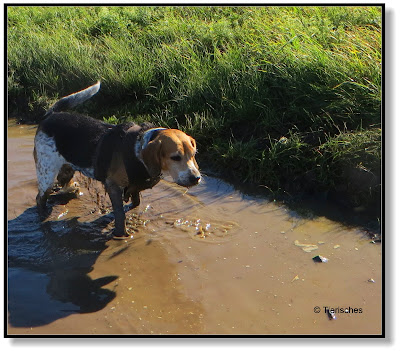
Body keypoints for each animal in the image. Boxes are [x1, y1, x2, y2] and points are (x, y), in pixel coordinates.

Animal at [34, 81, 202, 238]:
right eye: (175, 157)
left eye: (193, 154)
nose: (196, 178)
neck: (138, 149)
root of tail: (51, 116)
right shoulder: (113, 186)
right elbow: (120, 215)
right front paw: (121, 235)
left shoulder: (133, 186)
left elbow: (136, 202)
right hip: (46, 175)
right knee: (40, 198)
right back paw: (43, 217)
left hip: (67, 168)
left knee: (63, 182)